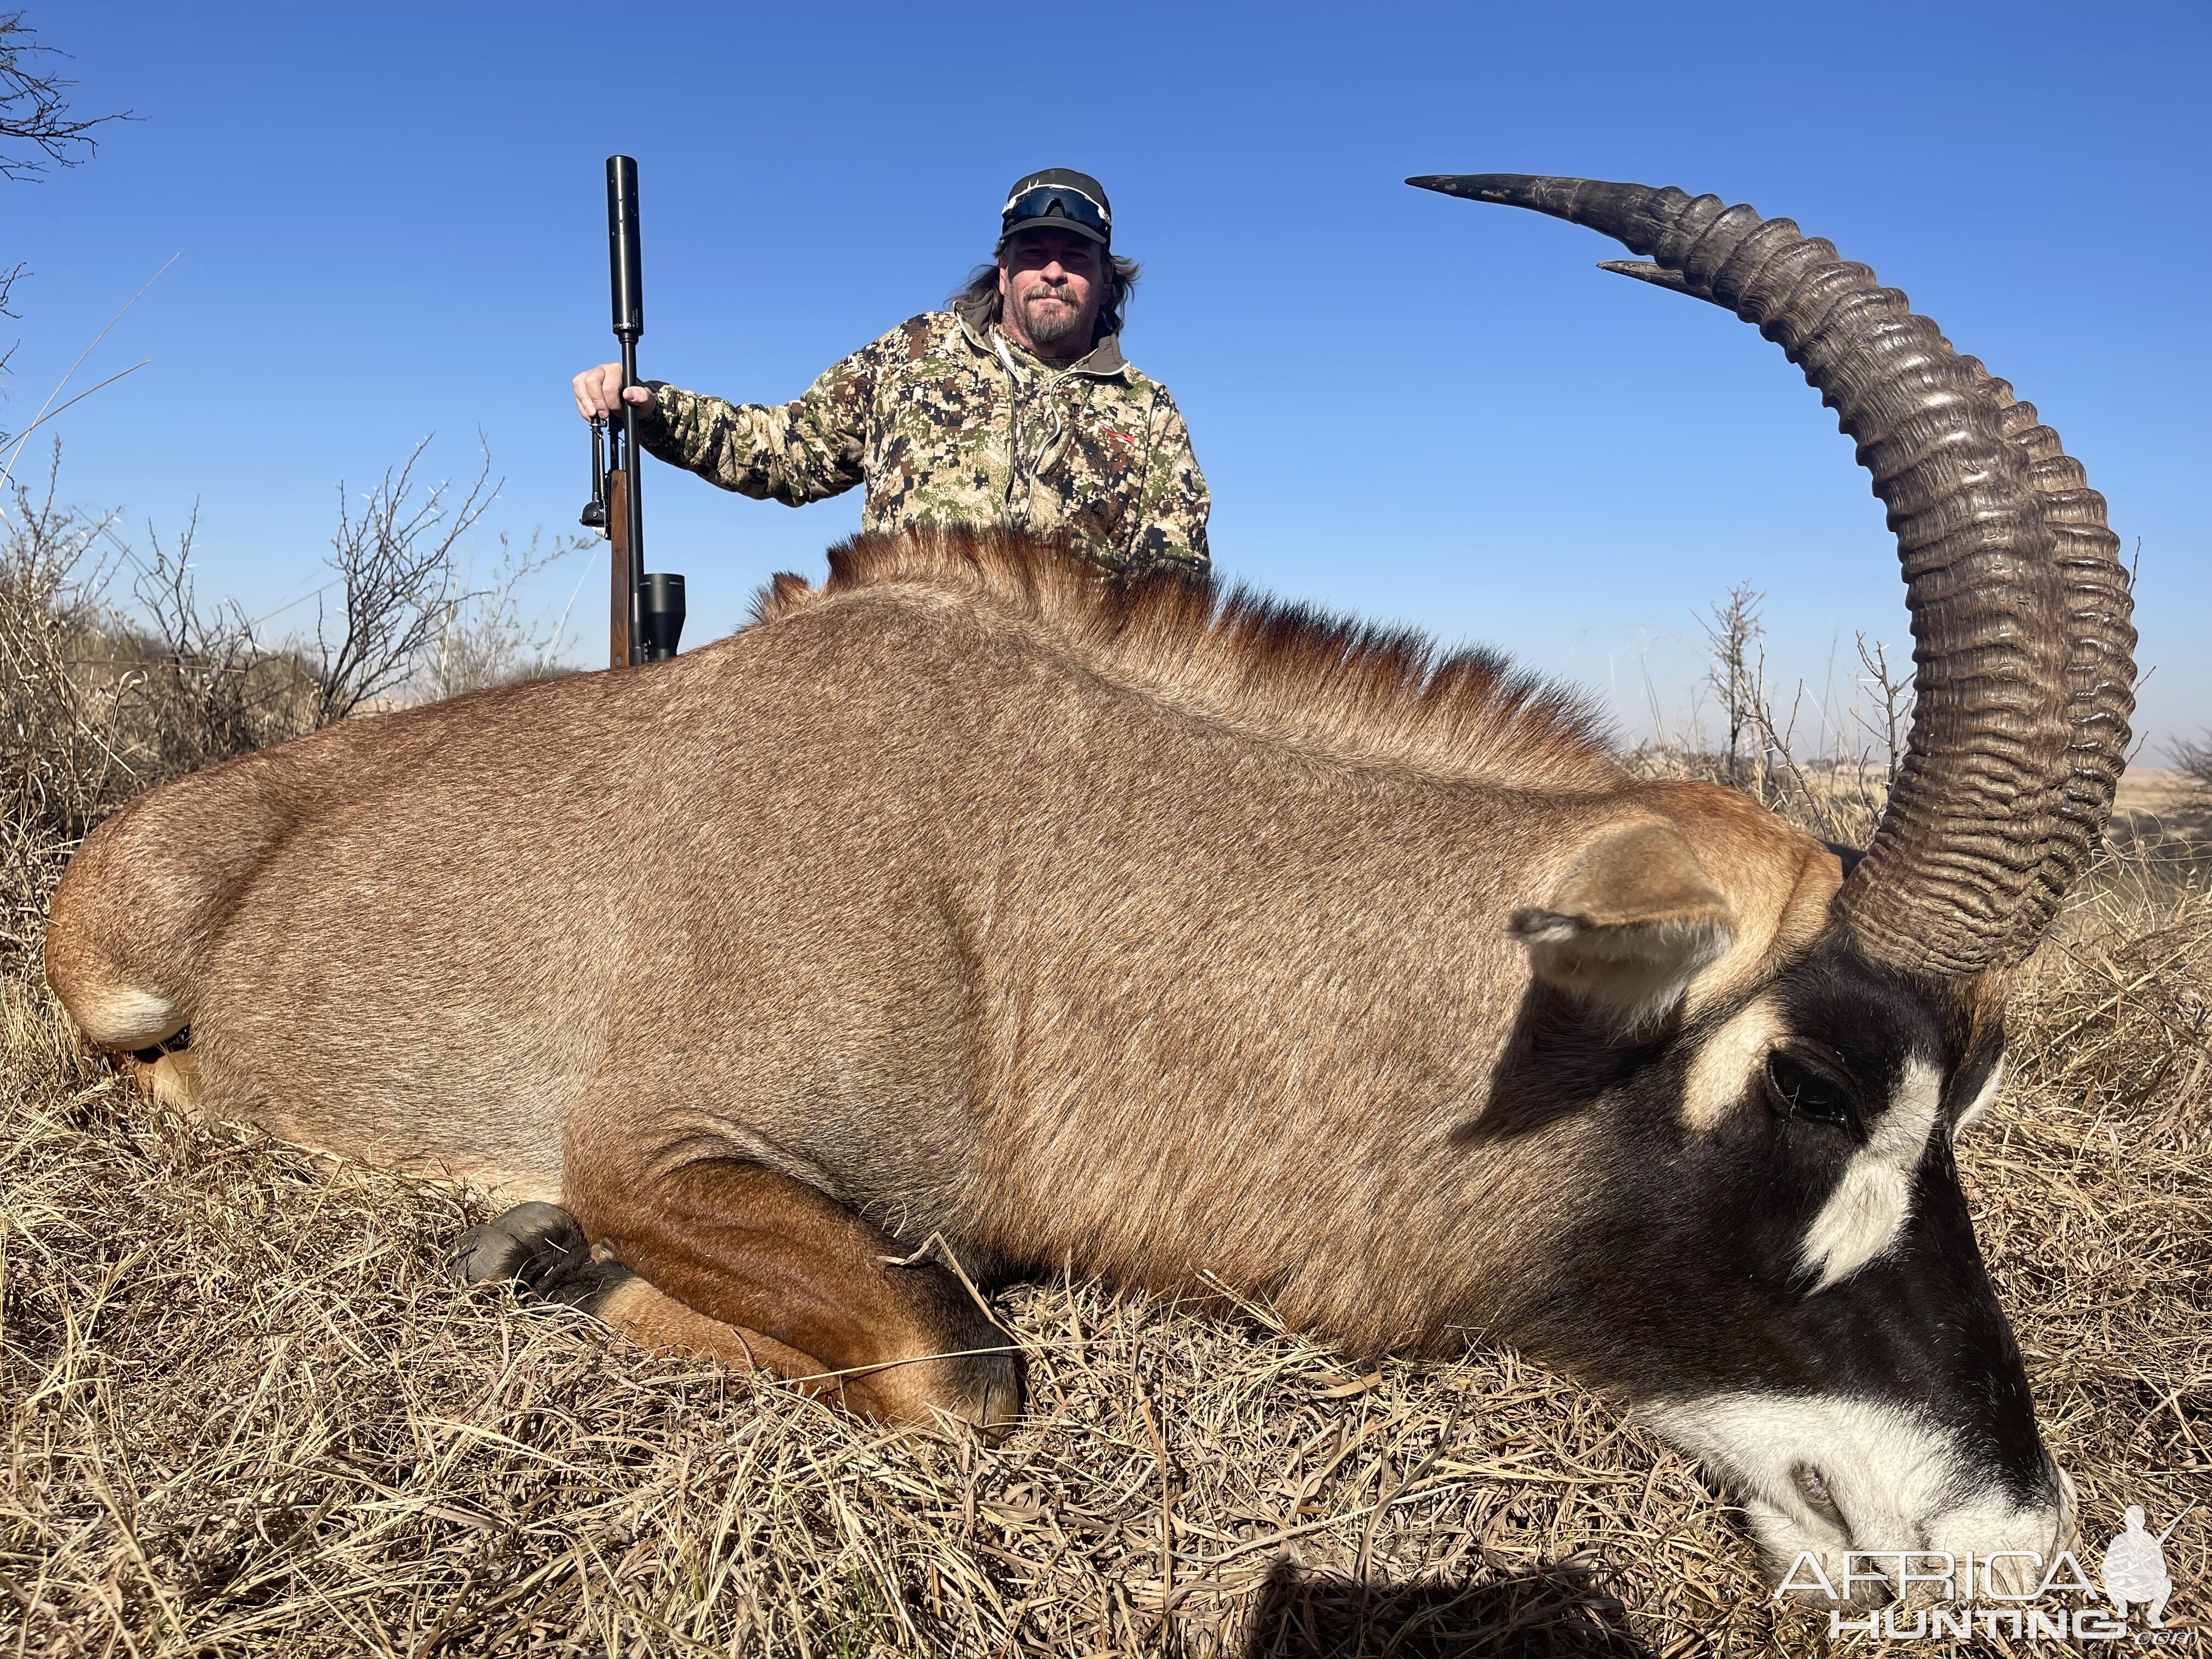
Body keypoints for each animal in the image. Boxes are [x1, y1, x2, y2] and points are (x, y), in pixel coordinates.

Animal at [43, 172, 2132, 1601]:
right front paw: (561, 1265)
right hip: (119, 977)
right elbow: (963, 1360)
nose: (2011, 1537)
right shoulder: (656, 1143)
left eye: (1973, 1093)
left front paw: (547, 1261)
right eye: (1813, 1082)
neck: (1027, 862)